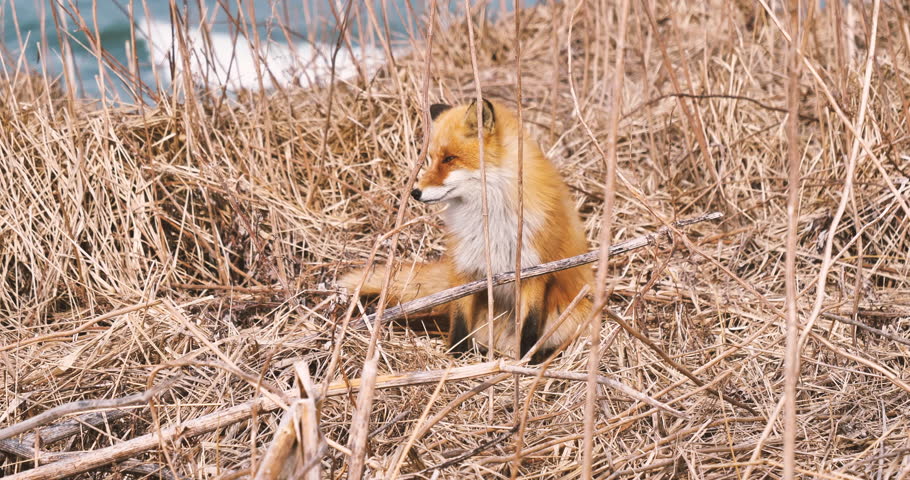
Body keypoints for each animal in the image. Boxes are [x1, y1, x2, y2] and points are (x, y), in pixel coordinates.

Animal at [341, 99, 592, 362]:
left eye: (450, 158)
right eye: (431, 158)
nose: (415, 192)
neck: (491, 219)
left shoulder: (532, 271)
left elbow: (529, 327)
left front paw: (526, 362)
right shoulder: (465, 268)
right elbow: (459, 323)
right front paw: (455, 358)